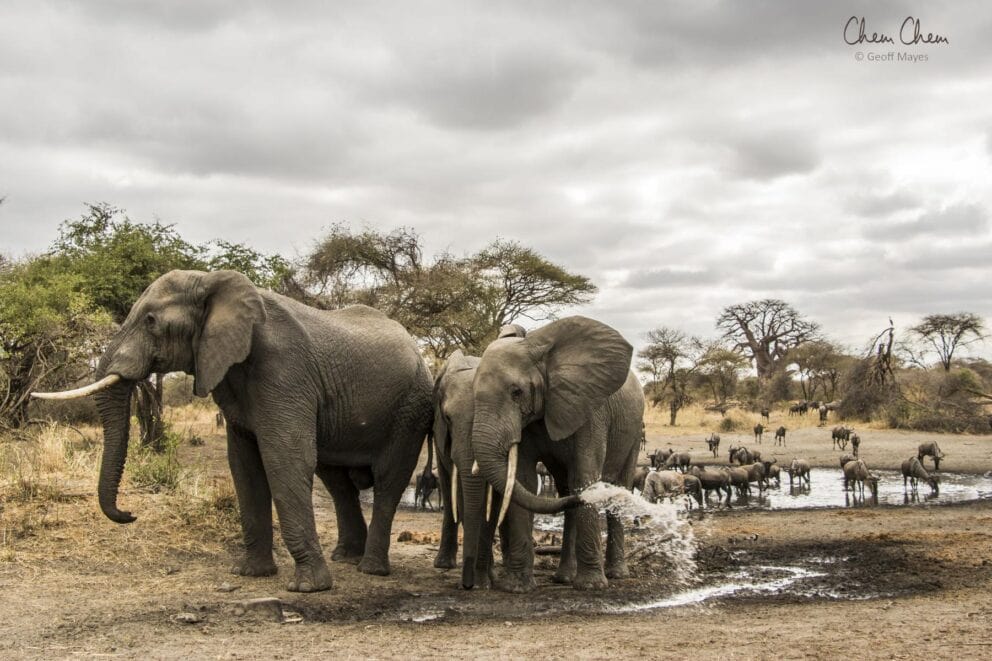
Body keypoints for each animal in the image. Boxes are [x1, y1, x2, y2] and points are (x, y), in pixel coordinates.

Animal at [32, 269, 433, 592]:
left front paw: (308, 588)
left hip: (411, 407)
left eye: (150, 320)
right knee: (335, 480)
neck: (211, 281)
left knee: (389, 479)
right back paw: (347, 559)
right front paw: (250, 574)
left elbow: (285, 459)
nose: (129, 514)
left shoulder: (285, 371)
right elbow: (244, 466)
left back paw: (370, 569)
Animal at [469, 316, 643, 591]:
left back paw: (615, 574)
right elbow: (524, 480)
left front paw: (591, 586)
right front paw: (517, 588)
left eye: (516, 392)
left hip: (635, 430)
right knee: (566, 490)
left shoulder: (590, 411)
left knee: (618, 486)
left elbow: (585, 476)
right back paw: (564, 577)